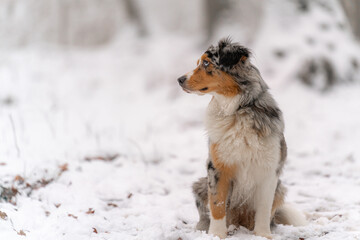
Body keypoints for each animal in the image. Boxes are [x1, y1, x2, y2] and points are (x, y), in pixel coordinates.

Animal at [177, 37, 306, 238]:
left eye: (206, 63)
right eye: (198, 63)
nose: (179, 80)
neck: (237, 109)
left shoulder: (269, 170)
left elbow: (263, 208)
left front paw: (263, 235)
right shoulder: (217, 167)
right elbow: (217, 204)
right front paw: (216, 235)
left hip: (280, 188)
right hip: (200, 185)